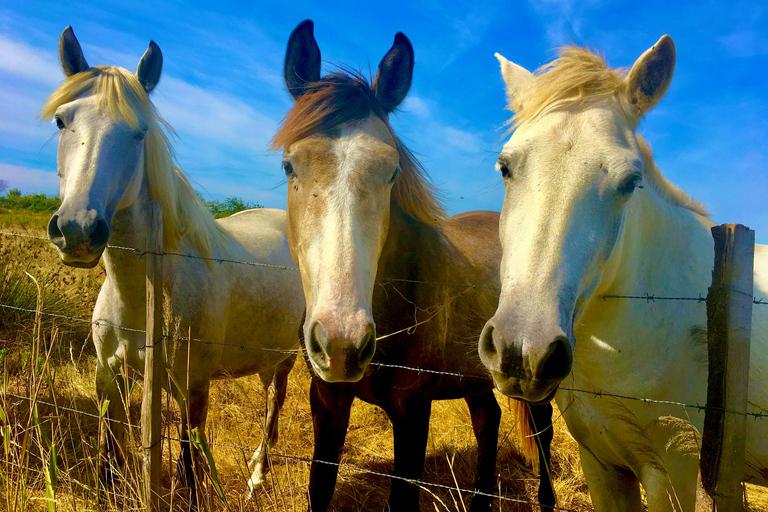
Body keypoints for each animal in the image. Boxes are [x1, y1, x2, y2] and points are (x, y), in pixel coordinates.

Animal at [43, 26, 304, 498]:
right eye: (61, 120)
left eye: (139, 133)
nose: (77, 229)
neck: (143, 293)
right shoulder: (108, 376)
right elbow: (110, 447)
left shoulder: (191, 387)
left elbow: (188, 457)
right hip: (268, 354)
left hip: (291, 355)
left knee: (275, 403)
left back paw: (258, 474)